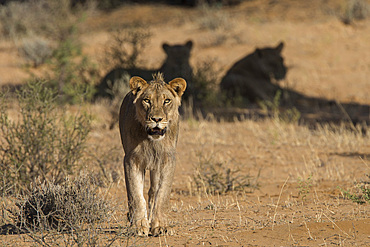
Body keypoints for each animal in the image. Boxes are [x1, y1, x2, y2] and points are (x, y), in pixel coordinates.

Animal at [119, 73, 186, 235]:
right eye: (147, 100)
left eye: (166, 101)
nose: (156, 119)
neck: (152, 141)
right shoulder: (131, 160)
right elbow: (136, 194)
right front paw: (139, 225)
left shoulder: (168, 160)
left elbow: (162, 195)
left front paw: (160, 226)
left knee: (152, 192)